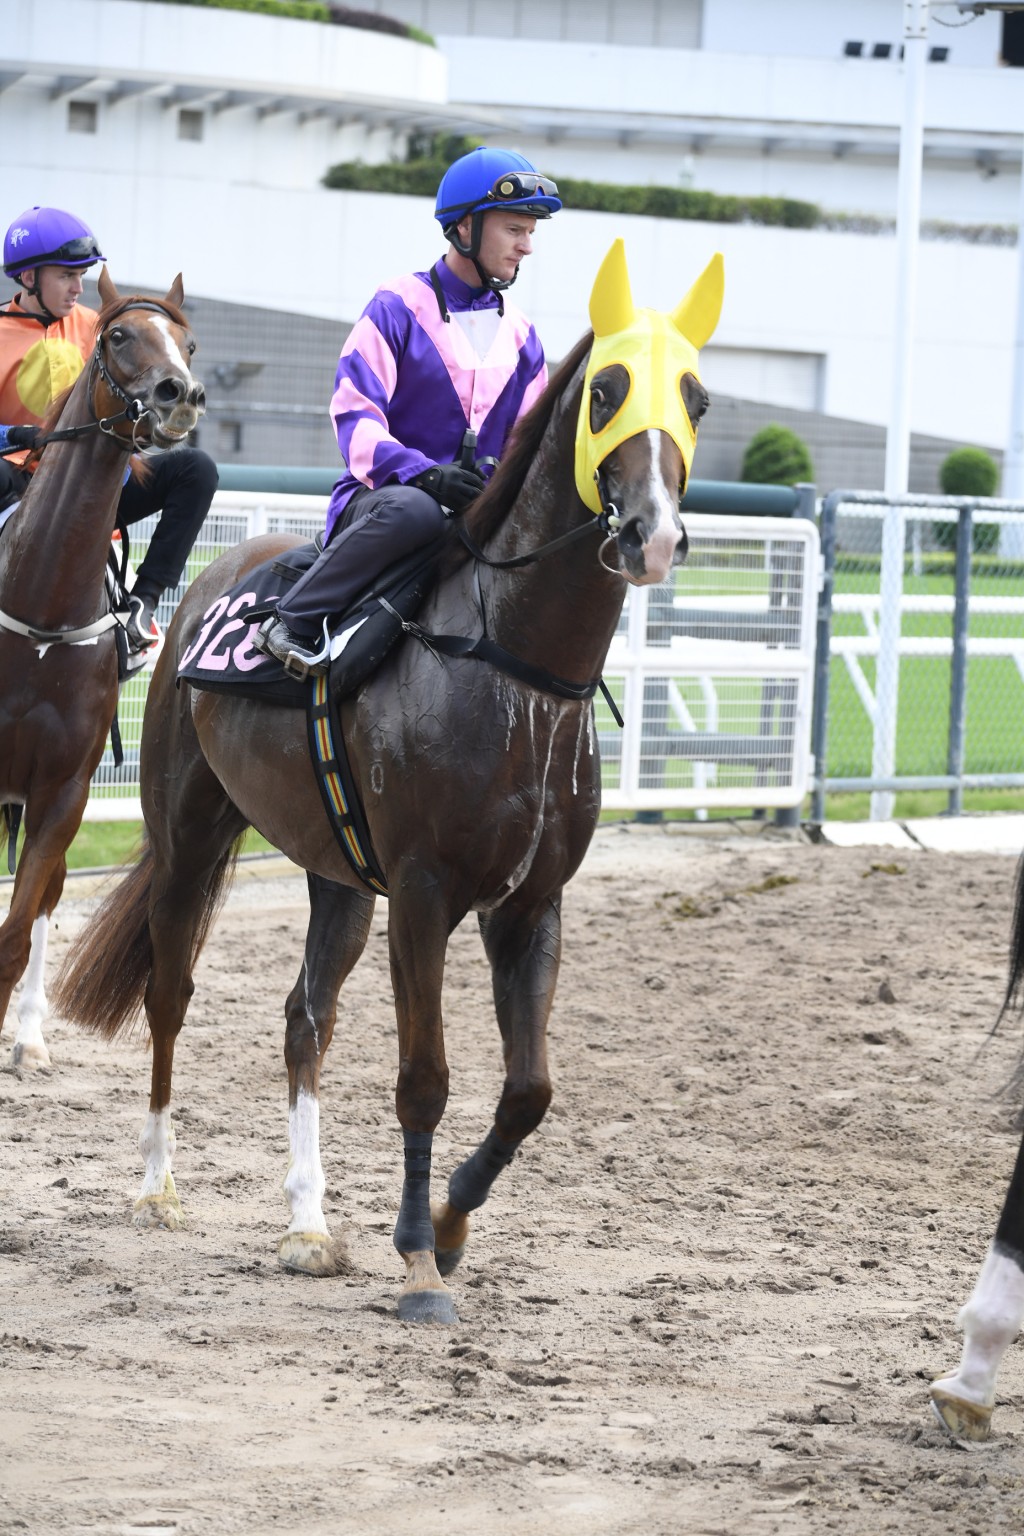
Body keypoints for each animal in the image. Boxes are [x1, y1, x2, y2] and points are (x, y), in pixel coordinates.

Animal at [0, 273, 204, 1069]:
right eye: (118, 336)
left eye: (189, 342)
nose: (180, 393)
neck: (42, 610)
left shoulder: (63, 792)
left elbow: (16, 931)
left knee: (47, 899)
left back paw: (28, 1033)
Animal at [56, 245, 724, 1327]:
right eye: (608, 391)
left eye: (698, 398)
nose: (652, 535)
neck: (510, 664)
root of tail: (216, 583)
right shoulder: (421, 893)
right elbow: (425, 1077)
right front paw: (417, 1261)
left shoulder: (529, 903)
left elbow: (529, 1091)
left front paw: (449, 1225)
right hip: (190, 831)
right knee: (170, 990)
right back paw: (158, 1185)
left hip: (335, 873)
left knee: (304, 1017)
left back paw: (306, 1223)